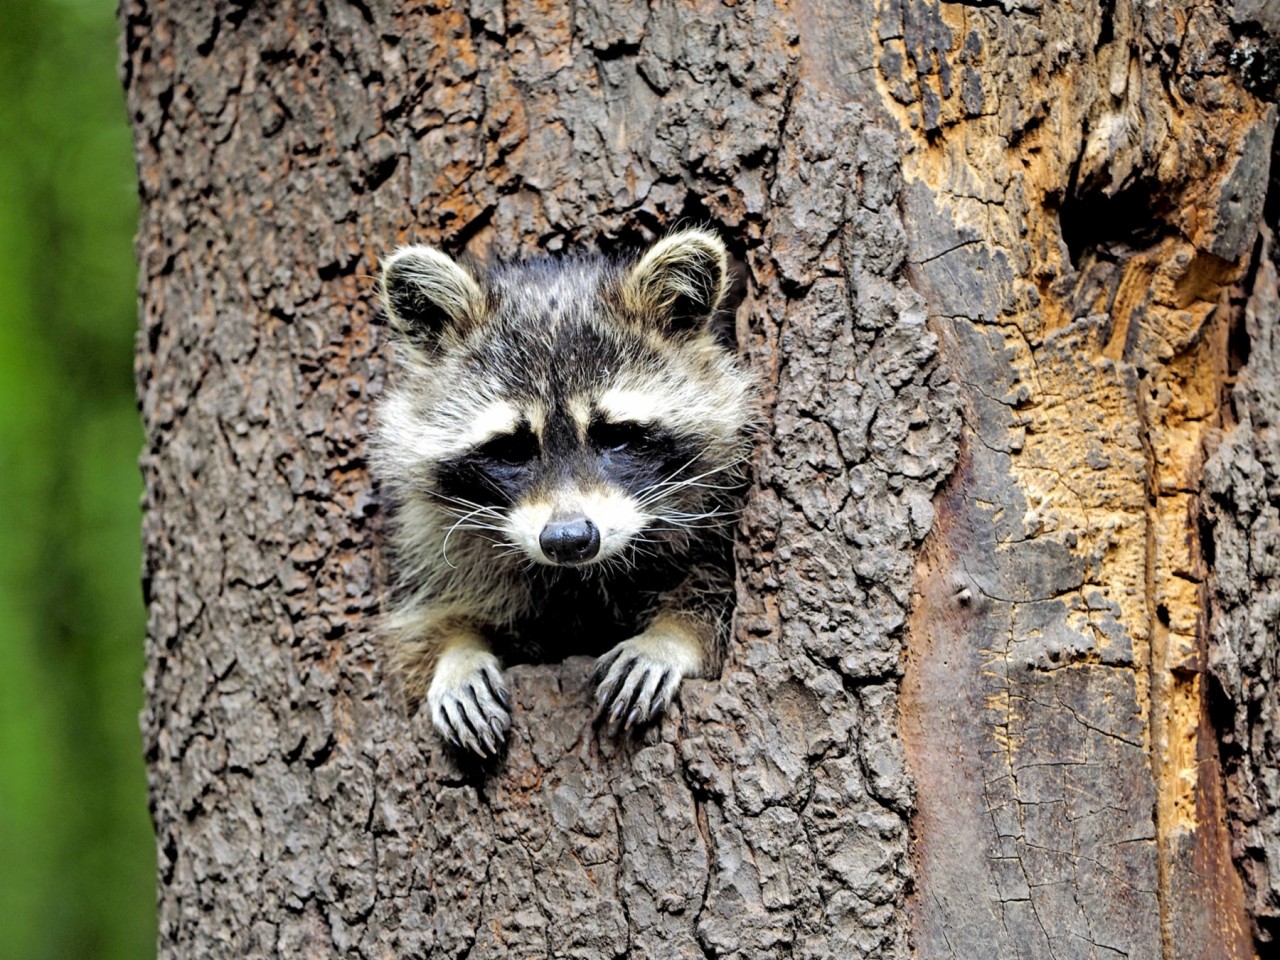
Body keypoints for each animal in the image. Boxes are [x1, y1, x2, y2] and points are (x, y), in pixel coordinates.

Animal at [371, 229, 752, 757]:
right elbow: (429, 616)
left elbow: (716, 591)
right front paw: (456, 651)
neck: (581, 578)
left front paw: (671, 635)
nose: (569, 540)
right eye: (511, 449)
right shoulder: (430, 536)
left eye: (616, 436)